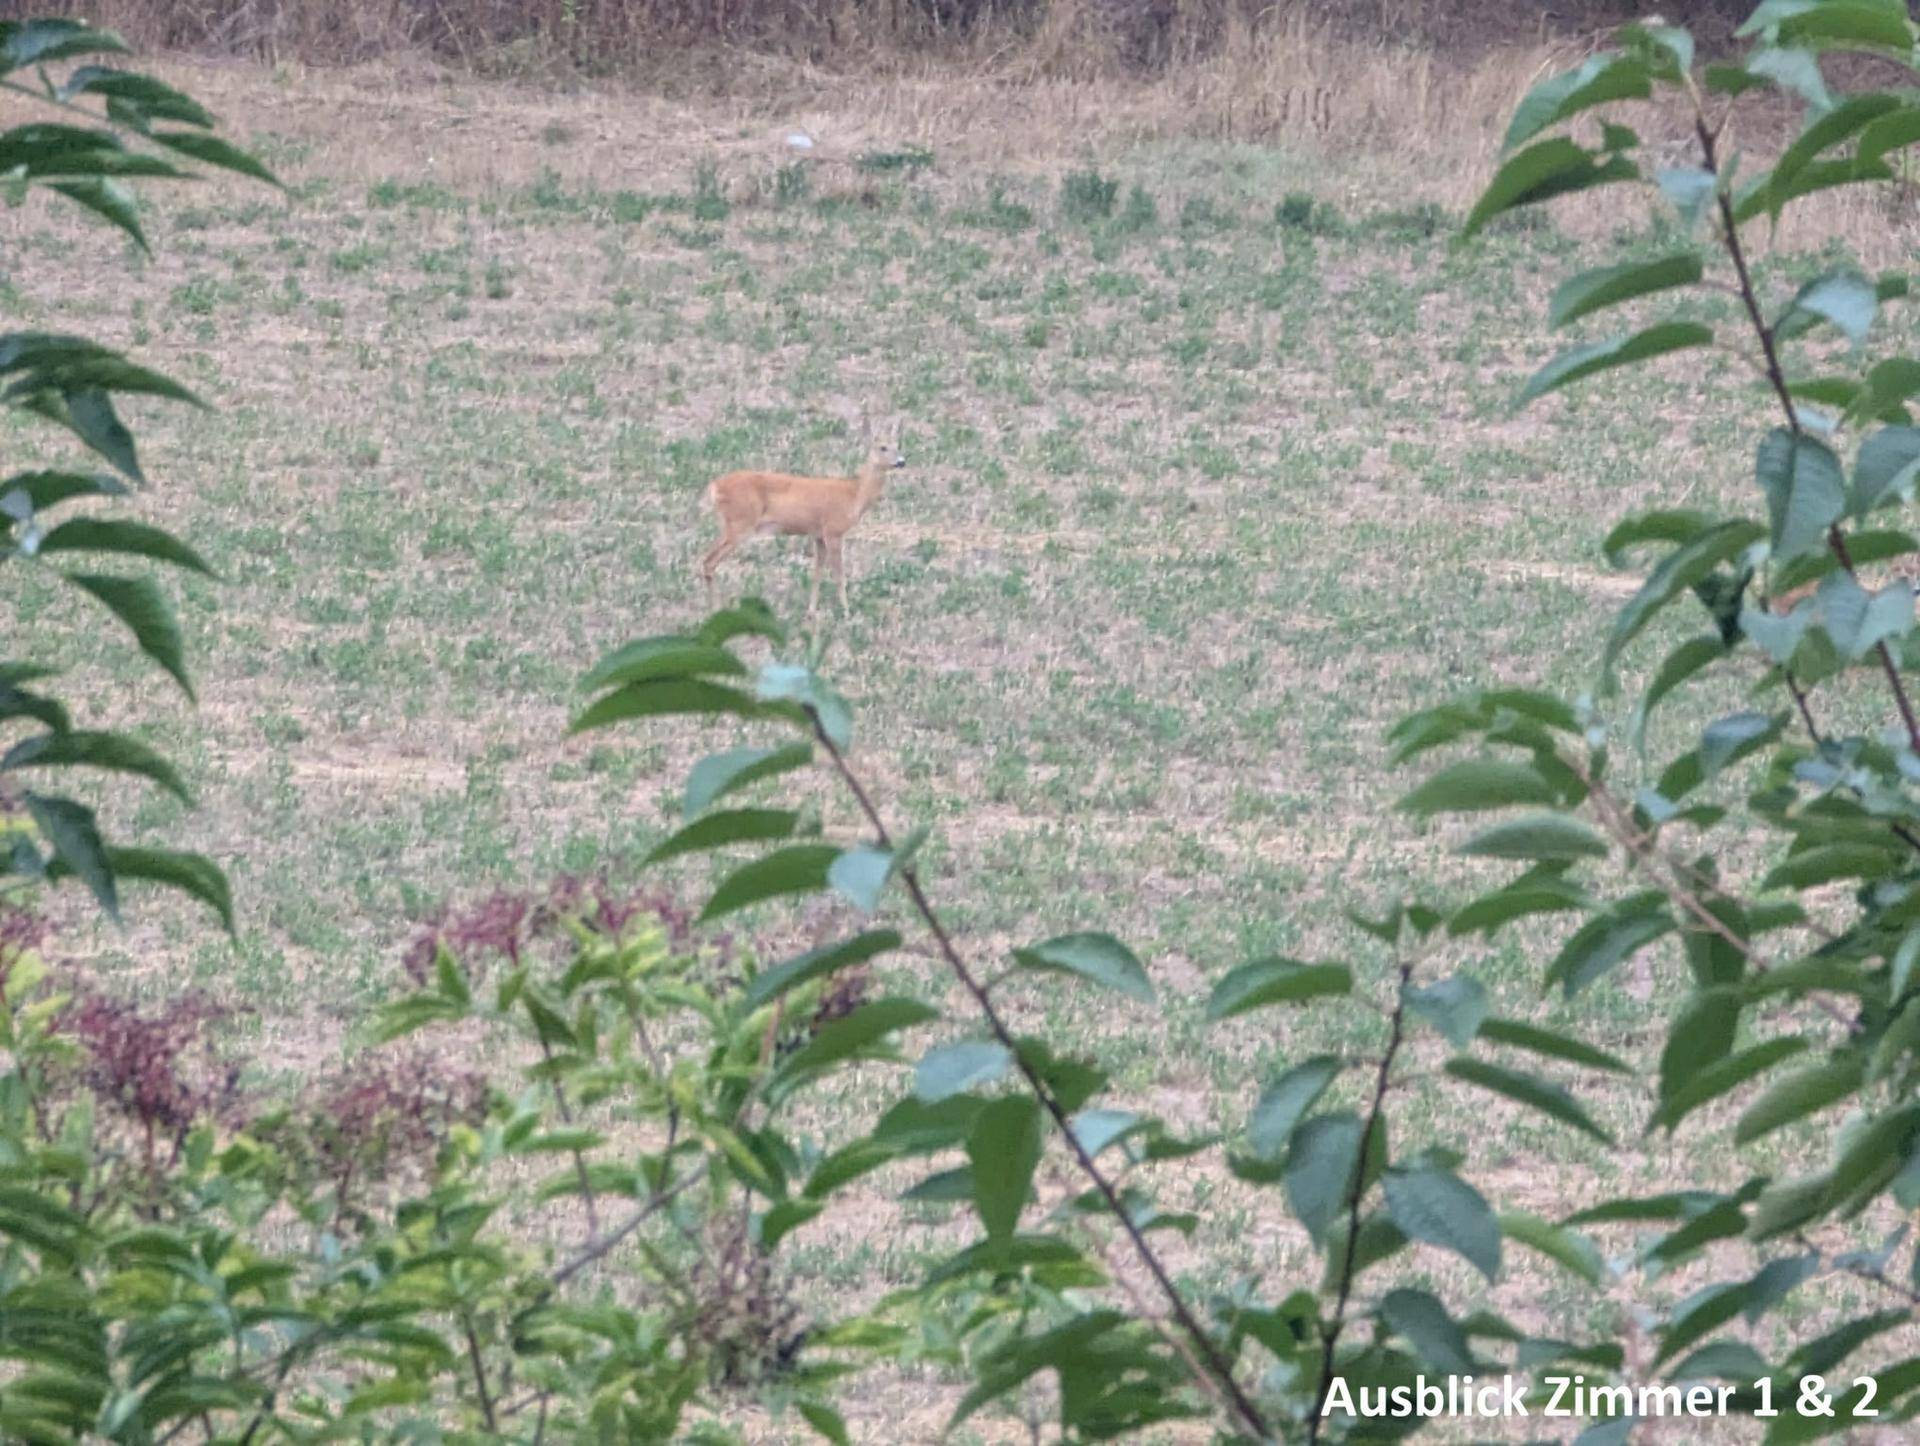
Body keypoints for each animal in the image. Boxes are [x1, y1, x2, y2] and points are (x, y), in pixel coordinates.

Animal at [698, 442, 906, 616]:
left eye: (898, 445)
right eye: (883, 447)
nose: (902, 461)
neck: (854, 494)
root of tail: (715, 486)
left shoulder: (818, 535)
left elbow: (817, 573)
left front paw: (811, 611)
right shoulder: (833, 531)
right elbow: (839, 575)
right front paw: (847, 613)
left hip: (729, 525)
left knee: (707, 558)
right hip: (740, 523)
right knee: (710, 561)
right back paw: (716, 609)